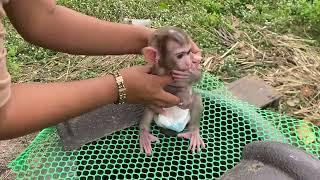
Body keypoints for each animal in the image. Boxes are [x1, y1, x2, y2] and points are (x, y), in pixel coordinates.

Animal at [139, 26, 205, 155]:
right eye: (180, 55)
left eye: (188, 52)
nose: (188, 62)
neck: (170, 69)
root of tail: (176, 125)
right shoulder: (155, 71)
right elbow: (155, 89)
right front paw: (182, 95)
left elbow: (198, 75)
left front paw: (191, 75)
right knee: (150, 106)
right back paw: (144, 134)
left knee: (196, 99)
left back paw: (194, 132)